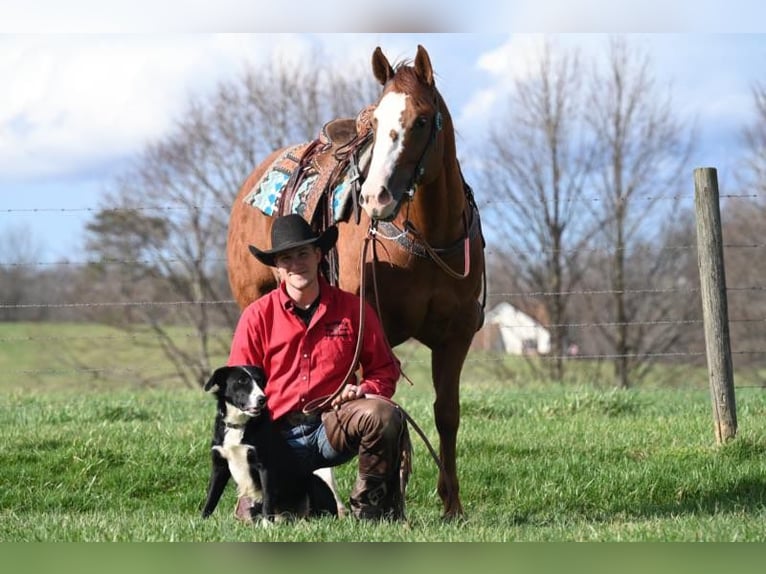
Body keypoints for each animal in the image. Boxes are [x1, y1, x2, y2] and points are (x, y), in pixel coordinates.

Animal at [200, 366, 344, 524]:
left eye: (260, 381)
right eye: (241, 381)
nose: (262, 399)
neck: (239, 425)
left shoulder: (265, 466)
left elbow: (268, 497)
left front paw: (267, 524)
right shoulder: (219, 465)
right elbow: (211, 496)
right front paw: (202, 521)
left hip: (314, 483)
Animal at [225, 46, 486, 520]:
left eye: (423, 120)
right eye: (377, 123)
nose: (375, 197)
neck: (426, 238)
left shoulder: (455, 336)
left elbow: (446, 414)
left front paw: (451, 505)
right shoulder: (371, 327)